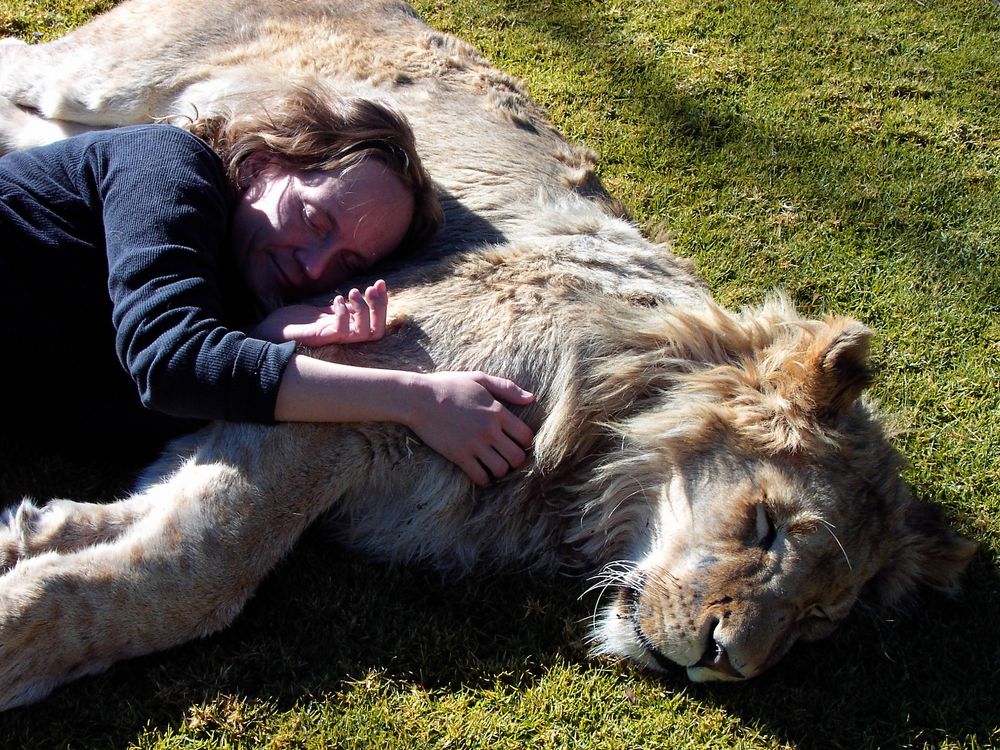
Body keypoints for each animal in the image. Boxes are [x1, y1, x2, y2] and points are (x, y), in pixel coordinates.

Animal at [0, 0, 976, 712]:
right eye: (766, 526)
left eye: (817, 619)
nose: (724, 662)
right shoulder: (352, 385)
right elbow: (196, 575)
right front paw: (20, 632)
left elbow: (158, 510)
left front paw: (36, 535)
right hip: (106, 74)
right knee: (23, 60)